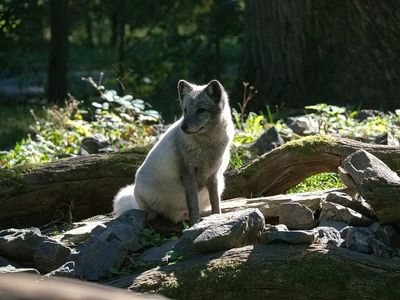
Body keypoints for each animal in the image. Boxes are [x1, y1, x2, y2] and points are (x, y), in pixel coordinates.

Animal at [112, 79, 234, 225]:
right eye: (185, 110)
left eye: (201, 110)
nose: (183, 127)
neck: (209, 145)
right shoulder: (188, 174)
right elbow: (193, 205)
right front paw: (195, 223)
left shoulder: (213, 176)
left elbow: (215, 204)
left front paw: (217, 217)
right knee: (151, 213)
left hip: (221, 183)